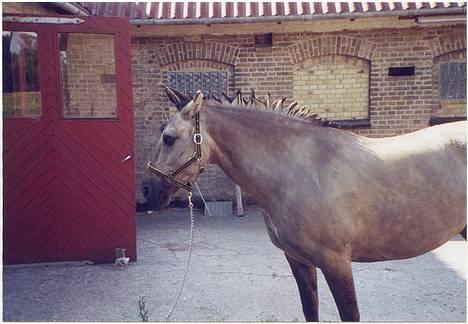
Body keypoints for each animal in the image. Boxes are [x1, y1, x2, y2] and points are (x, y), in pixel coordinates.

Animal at [141, 85, 466, 322]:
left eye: (169, 138)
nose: (147, 191)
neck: (298, 169)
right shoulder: (298, 260)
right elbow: (310, 311)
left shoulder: (337, 263)